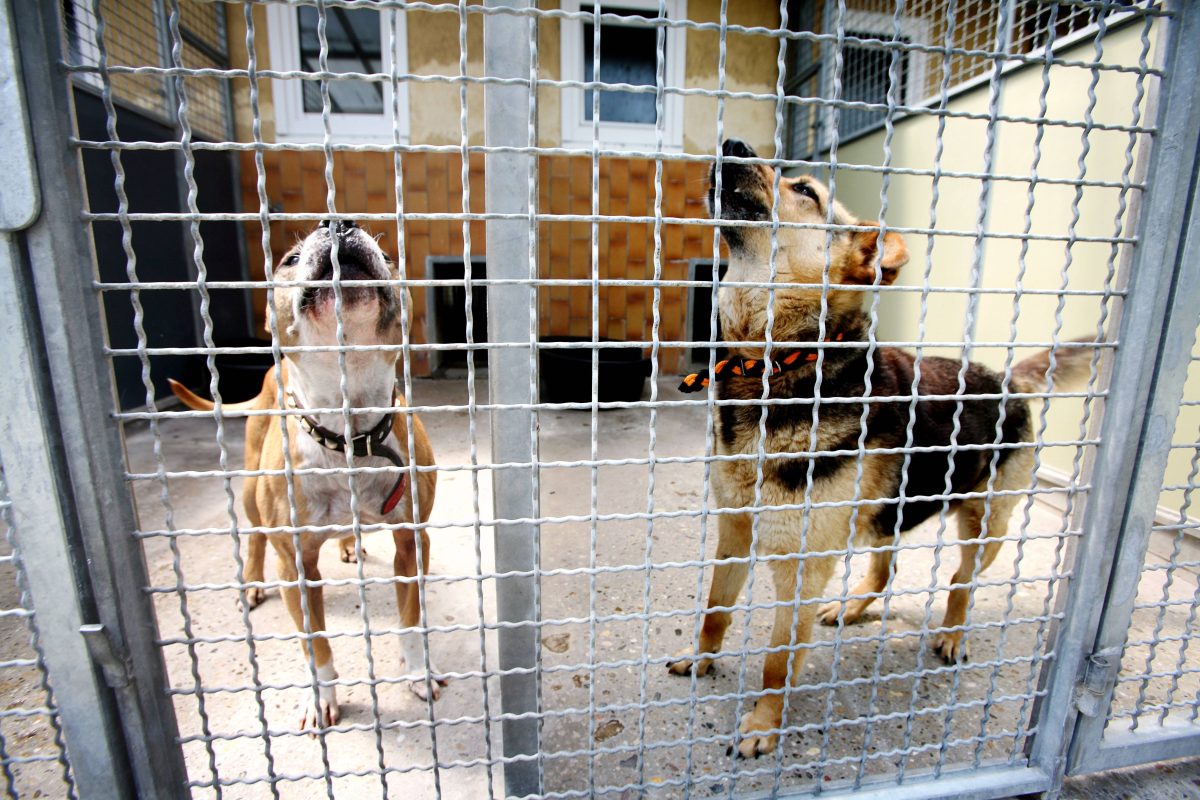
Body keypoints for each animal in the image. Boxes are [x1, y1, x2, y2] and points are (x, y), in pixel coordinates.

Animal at [171, 220, 444, 734]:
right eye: (290, 260)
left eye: (389, 257)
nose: (338, 223)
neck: (349, 431)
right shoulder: (295, 567)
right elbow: (315, 644)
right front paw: (320, 697)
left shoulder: (411, 541)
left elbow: (411, 619)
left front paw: (419, 672)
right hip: (251, 491)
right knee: (255, 537)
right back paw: (253, 582)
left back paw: (348, 545)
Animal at [672, 140, 1094, 762]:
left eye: (805, 191)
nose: (734, 145)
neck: (777, 363)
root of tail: (1006, 378)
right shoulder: (735, 531)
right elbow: (713, 612)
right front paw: (702, 661)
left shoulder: (802, 565)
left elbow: (777, 659)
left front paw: (765, 724)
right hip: (885, 513)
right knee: (885, 566)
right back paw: (852, 607)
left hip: (984, 523)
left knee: (960, 581)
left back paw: (950, 634)